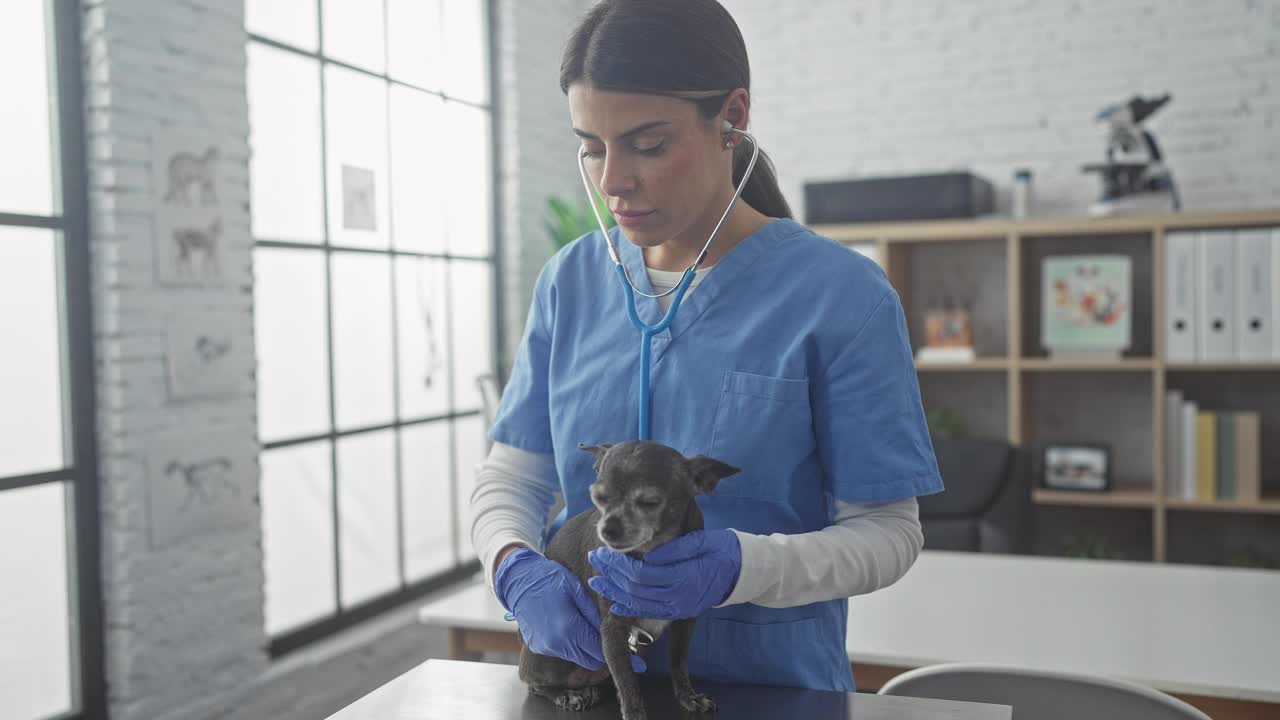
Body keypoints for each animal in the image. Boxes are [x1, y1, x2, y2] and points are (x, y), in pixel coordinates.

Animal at [514, 438, 742, 717]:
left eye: (650, 503)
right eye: (599, 498)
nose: (608, 529)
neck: (650, 555)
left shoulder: (685, 622)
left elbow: (678, 663)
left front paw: (688, 697)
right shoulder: (613, 630)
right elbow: (626, 681)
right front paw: (634, 713)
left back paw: (590, 691)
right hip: (549, 656)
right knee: (535, 685)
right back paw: (566, 695)